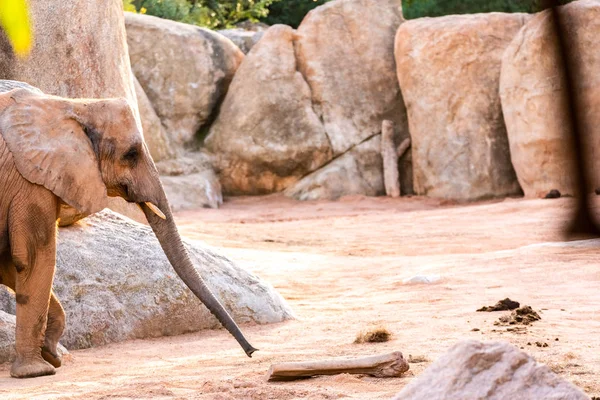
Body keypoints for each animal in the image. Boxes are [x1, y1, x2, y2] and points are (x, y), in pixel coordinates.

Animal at [0, 80, 255, 378]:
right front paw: (37, 371)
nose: (253, 351)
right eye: (131, 154)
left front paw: (52, 354)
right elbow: (33, 260)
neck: (71, 105)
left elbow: (10, 264)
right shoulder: (29, 182)